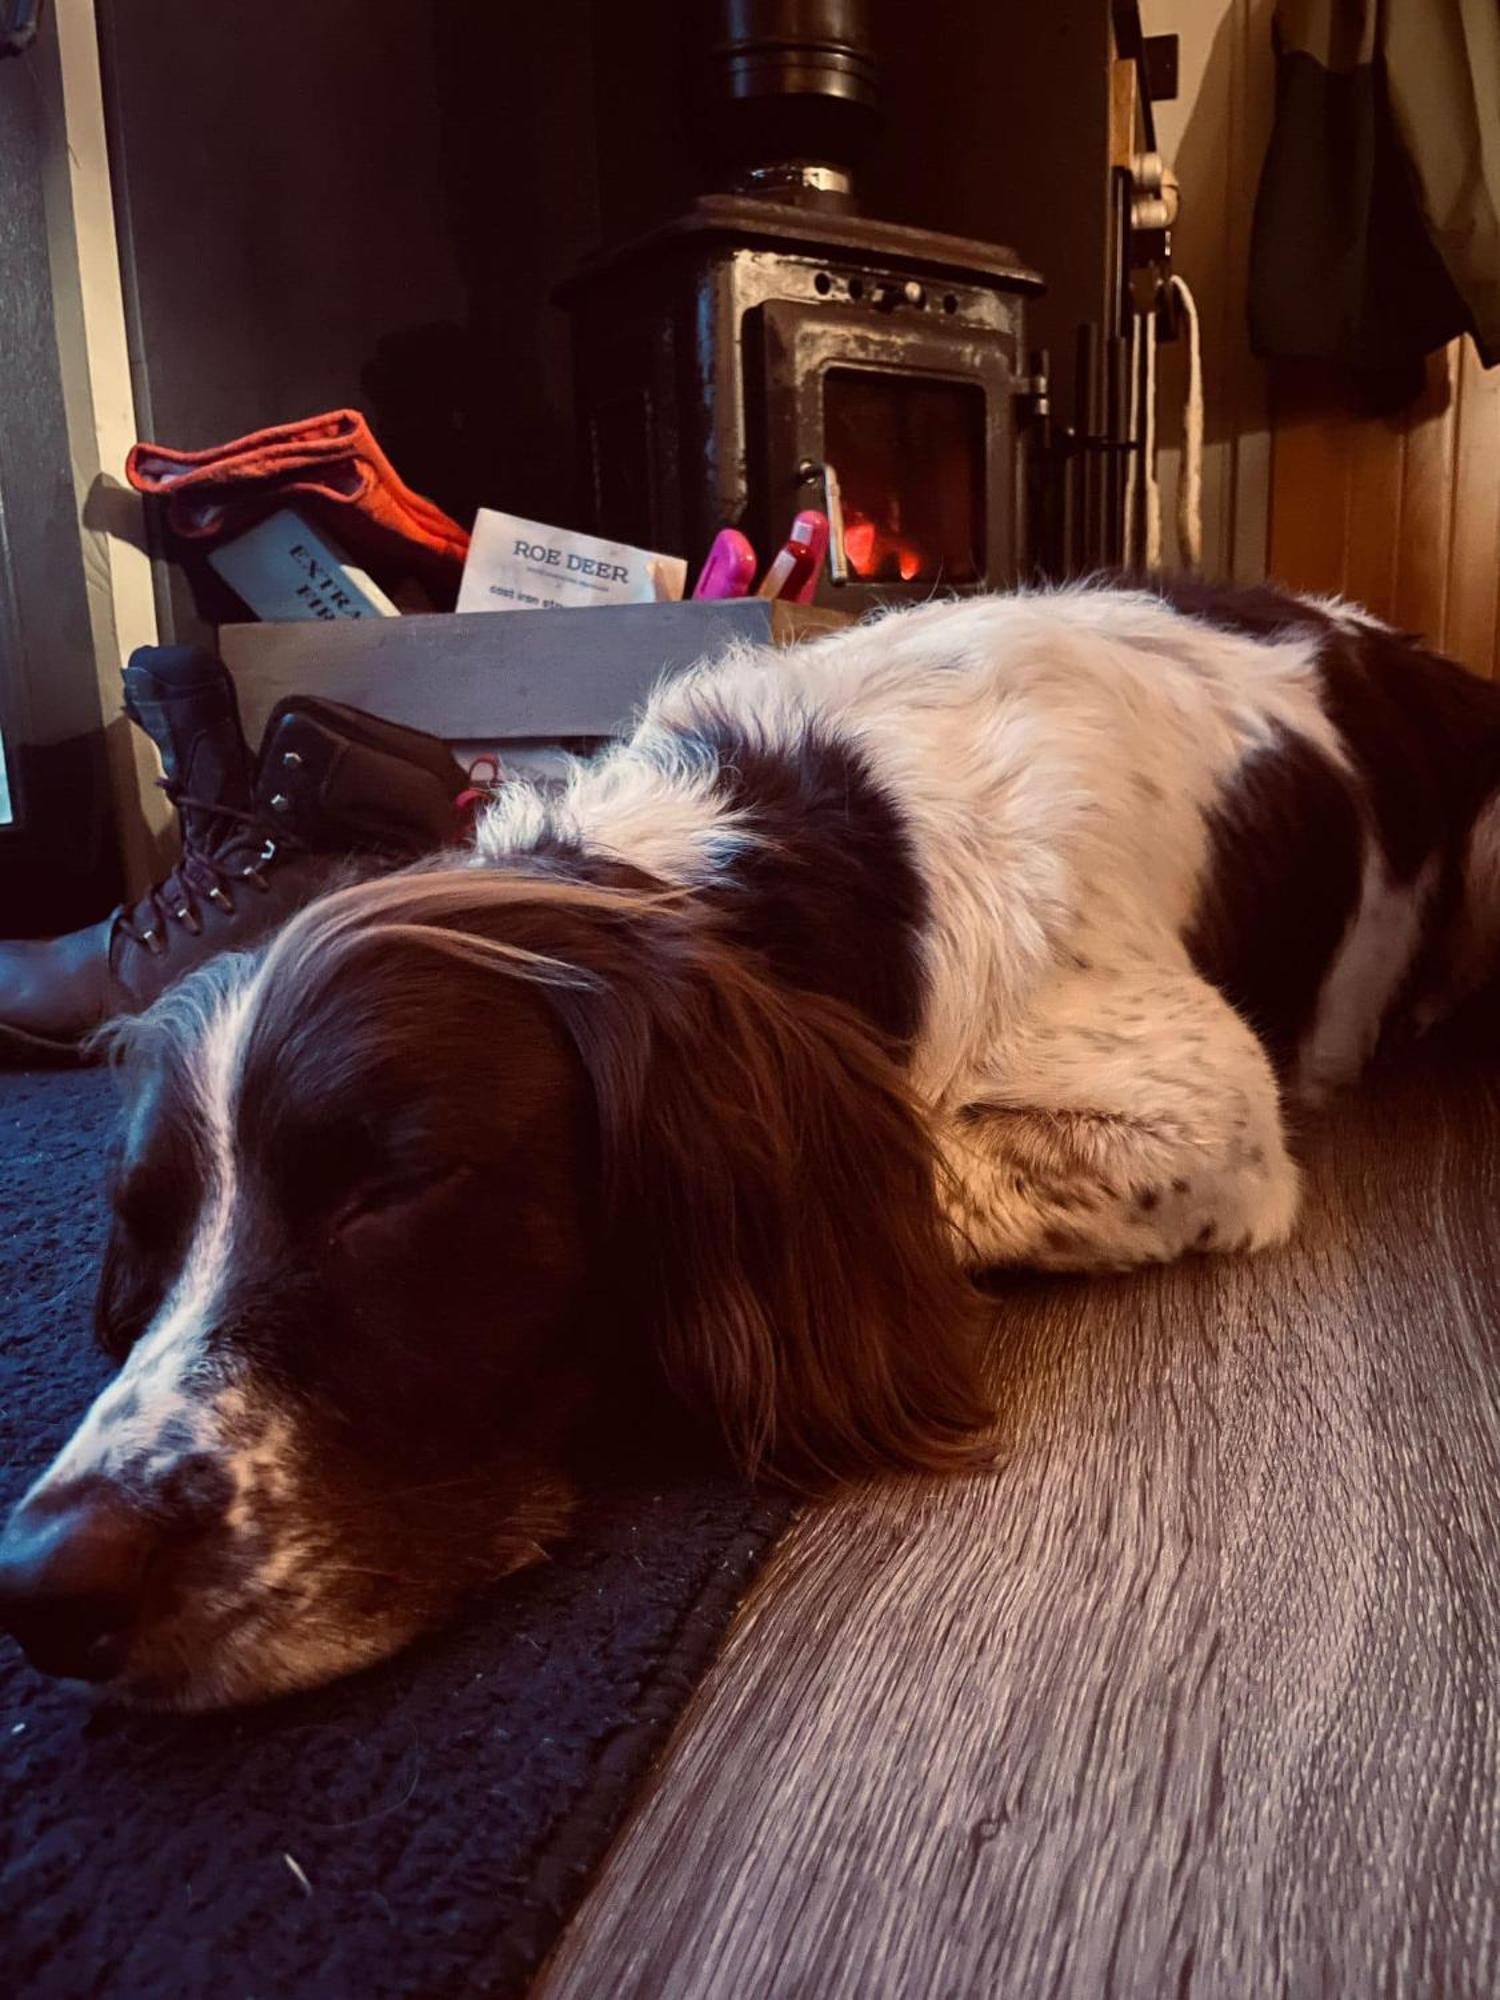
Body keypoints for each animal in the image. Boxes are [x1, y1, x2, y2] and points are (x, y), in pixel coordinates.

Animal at [2, 576, 1500, 1704]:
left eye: (387, 1193)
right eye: (142, 1234)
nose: (48, 1579)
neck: (804, 856)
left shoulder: (1212, 1112)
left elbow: (926, 1162)